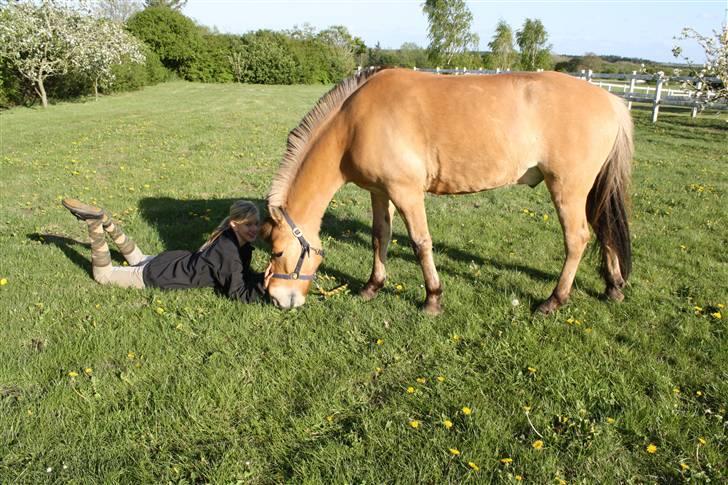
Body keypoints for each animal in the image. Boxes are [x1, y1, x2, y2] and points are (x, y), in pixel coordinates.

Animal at [262, 67, 632, 314]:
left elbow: (420, 243)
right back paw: (613, 287)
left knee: (577, 240)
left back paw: (554, 300)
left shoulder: (407, 192)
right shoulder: (380, 192)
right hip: (589, 190)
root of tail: (613, 100)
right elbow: (380, 237)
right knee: (605, 229)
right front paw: (372, 286)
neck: (354, 124)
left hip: (567, 188)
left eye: (277, 251)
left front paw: (432, 298)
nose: (276, 298)